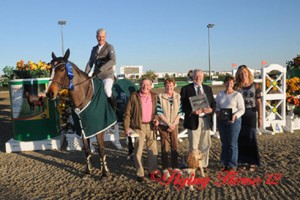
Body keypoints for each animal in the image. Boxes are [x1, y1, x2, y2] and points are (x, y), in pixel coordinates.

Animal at [45, 49, 116, 177]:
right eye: (50, 70)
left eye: (62, 69)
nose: (49, 93)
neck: (86, 96)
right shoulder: (83, 129)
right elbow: (87, 150)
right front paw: (88, 171)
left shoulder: (99, 129)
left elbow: (101, 149)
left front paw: (104, 173)